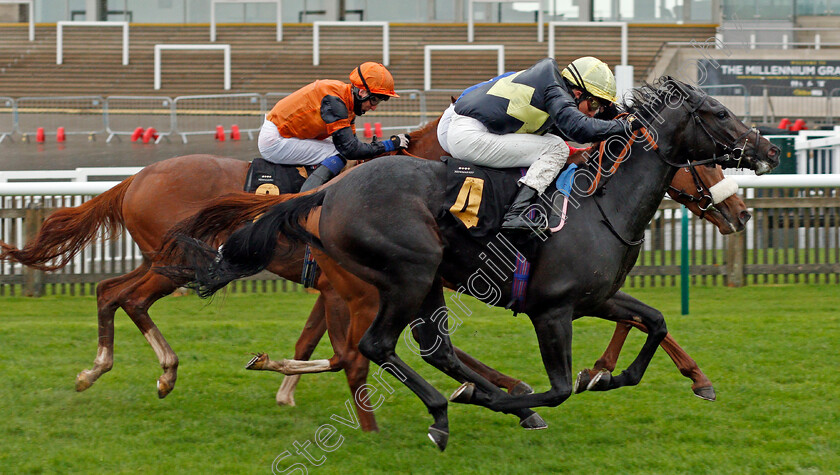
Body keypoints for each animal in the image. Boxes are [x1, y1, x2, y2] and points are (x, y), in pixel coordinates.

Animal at [172, 78, 780, 450]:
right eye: (719, 113)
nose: (769, 152)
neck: (599, 205)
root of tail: (327, 192)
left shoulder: (597, 298)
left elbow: (653, 321)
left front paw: (614, 375)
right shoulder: (551, 310)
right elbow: (558, 387)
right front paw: (527, 398)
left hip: (421, 282)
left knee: (426, 347)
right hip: (409, 272)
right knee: (375, 346)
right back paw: (447, 410)